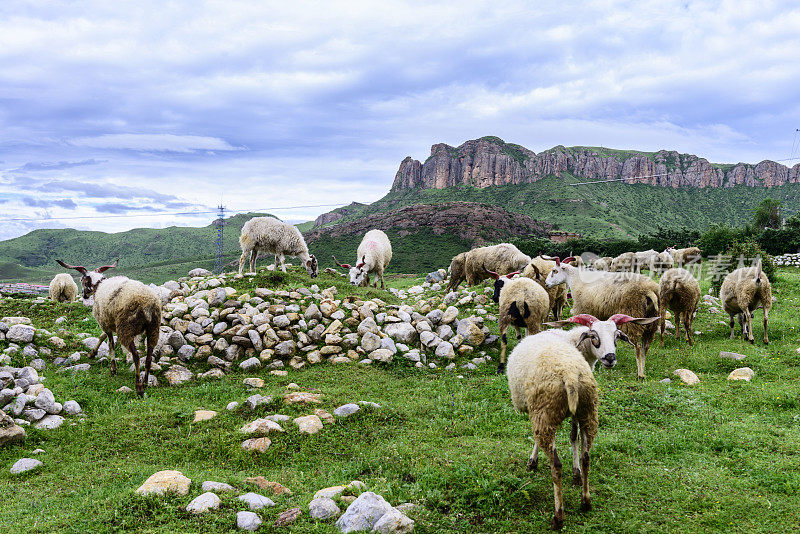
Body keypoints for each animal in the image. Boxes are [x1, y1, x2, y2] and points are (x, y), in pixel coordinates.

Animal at [56, 260, 162, 398]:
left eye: (82, 280)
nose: (83, 295)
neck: (98, 286)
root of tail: (148, 305)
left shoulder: (105, 322)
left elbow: (111, 344)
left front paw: (113, 369)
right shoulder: (110, 323)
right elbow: (102, 337)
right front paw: (92, 353)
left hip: (126, 328)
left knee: (136, 356)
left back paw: (139, 387)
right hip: (153, 329)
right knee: (149, 357)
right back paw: (145, 382)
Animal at [506, 336, 600, 532]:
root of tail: (570, 376)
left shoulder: (536, 411)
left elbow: (536, 440)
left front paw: (532, 462)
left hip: (546, 411)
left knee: (556, 466)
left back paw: (558, 516)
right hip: (588, 411)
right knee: (586, 458)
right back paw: (585, 502)